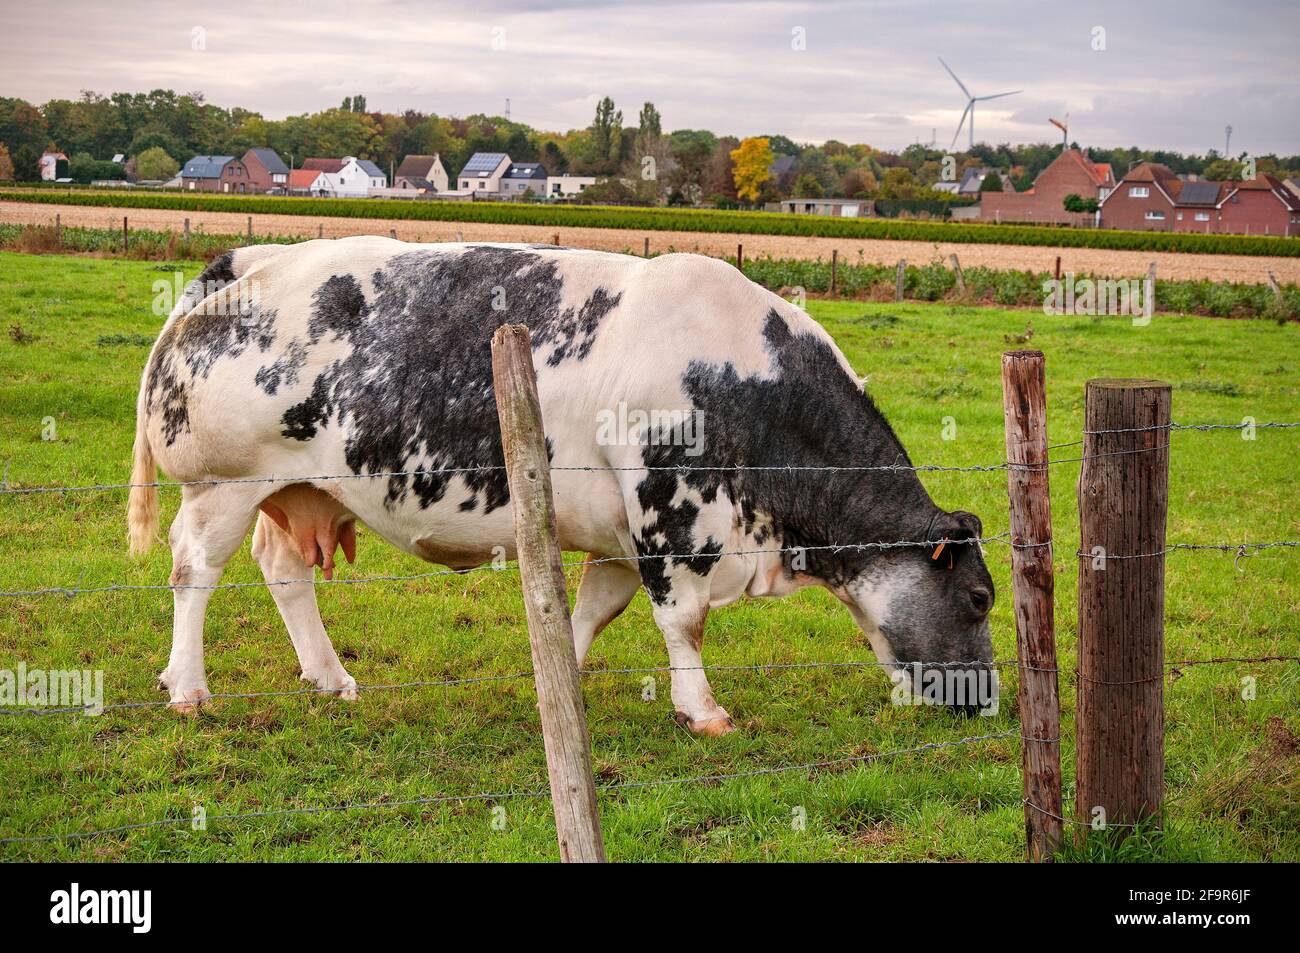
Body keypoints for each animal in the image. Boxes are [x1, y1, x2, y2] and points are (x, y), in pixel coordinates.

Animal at [126, 237, 993, 728]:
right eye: (981, 598)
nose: (986, 697)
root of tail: (241, 262)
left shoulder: (617, 535)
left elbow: (590, 613)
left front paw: (560, 686)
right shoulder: (671, 521)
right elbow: (684, 624)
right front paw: (704, 711)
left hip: (296, 488)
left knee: (283, 570)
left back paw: (331, 677)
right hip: (223, 482)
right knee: (194, 569)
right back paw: (188, 687)